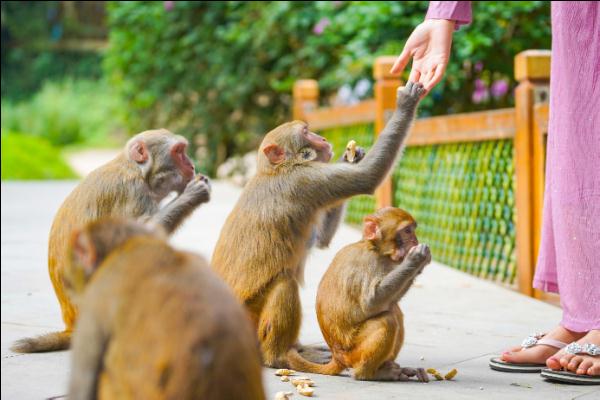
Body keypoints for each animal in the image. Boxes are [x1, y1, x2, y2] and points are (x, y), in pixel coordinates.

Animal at [9, 129, 213, 354]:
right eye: (178, 152)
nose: (192, 166)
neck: (137, 170)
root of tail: (72, 325)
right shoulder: (132, 193)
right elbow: (142, 234)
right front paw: (193, 194)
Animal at [211, 82, 426, 368]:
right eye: (306, 133)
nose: (322, 138)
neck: (275, 170)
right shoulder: (305, 181)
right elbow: (366, 178)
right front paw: (406, 103)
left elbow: (321, 239)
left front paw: (351, 157)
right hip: (250, 322)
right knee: (284, 284)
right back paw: (279, 356)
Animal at [288, 206, 432, 382]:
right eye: (407, 231)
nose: (415, 241)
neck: (375, 249)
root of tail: (337, 357)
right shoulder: (366, 262)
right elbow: (371, 303)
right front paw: (416, 260)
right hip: (353, 353)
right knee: (387, 319)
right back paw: (368, 374)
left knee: (395, 311)